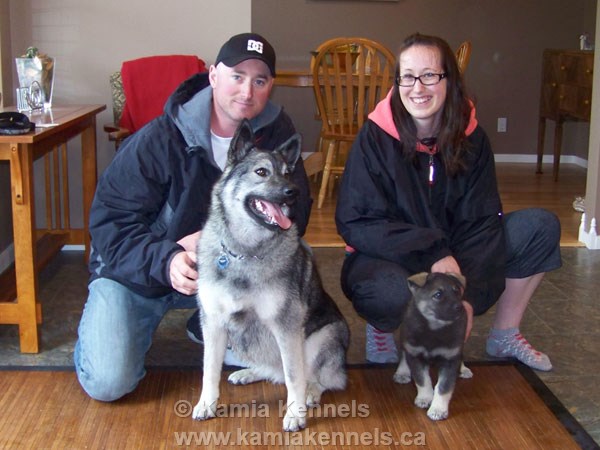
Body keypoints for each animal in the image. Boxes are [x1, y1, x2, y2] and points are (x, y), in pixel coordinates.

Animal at [394, 270, 474, 422]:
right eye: (438, 294)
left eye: (456, 292)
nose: (460, 307)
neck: (434, 330)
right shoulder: (416, 355)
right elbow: (422, 380)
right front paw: (425, 398)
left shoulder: (450, 358)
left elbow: (444, 387)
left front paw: (438, 409)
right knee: (403, 353)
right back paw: (402, 372)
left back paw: (464, 368)